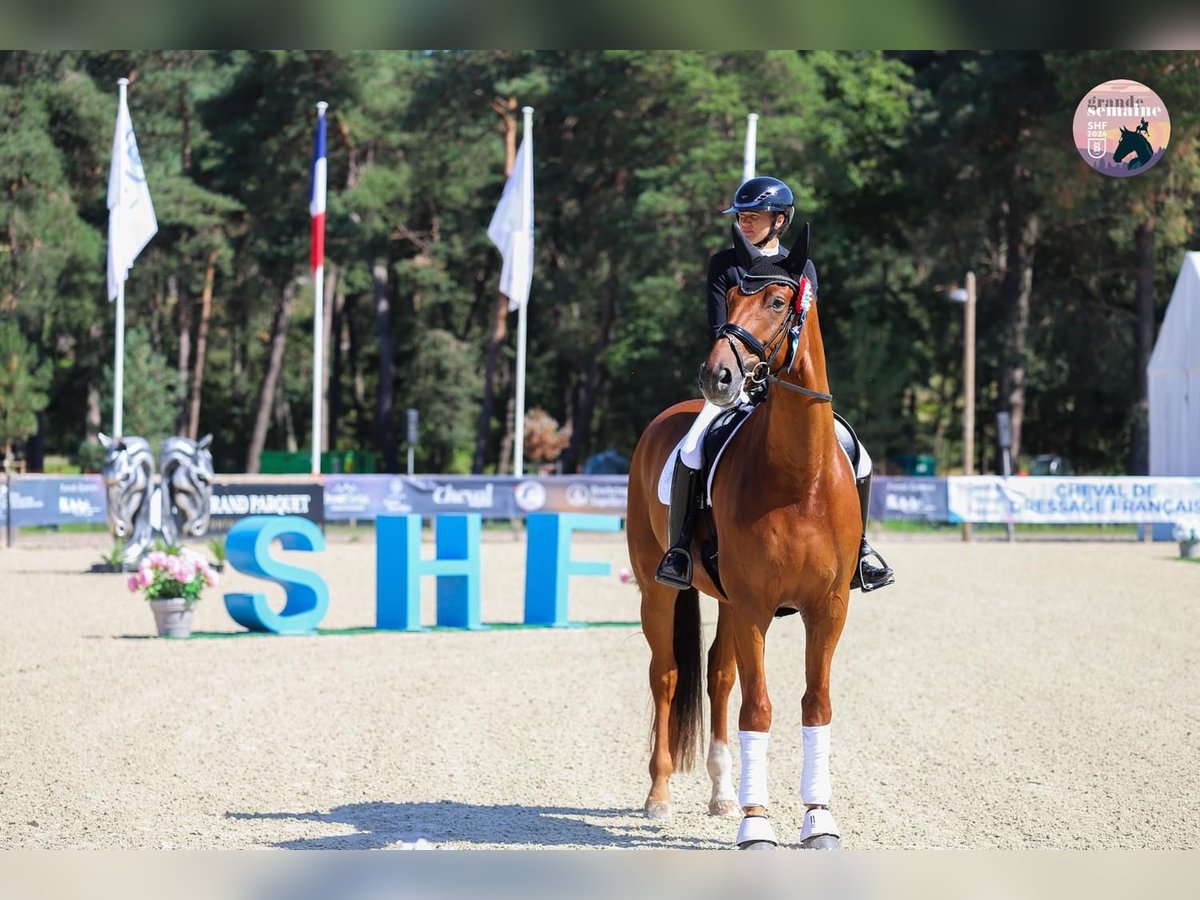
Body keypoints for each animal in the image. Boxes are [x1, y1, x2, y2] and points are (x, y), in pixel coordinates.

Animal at [624, 225, 859, 854]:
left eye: (778, 302)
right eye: (728, 299)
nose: (717, 378)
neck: (800, 478)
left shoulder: (828, 607)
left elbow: (815, 704)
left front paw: (818, 818)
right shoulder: (756, 605)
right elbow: (759, 708)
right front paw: (757, 825)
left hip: (728, 601)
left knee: (718, 677)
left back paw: (722, 794)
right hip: (660, 590)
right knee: (668, 675)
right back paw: (660, 797)